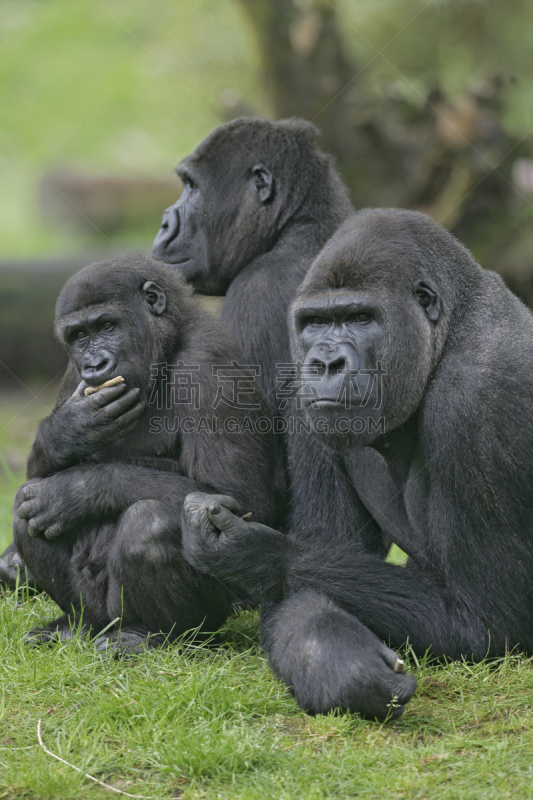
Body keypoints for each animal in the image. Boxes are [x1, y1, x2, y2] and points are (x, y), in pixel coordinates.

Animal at [11, 253, 274, 652]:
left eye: (107, 325)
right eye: (79, 336)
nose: (95, 365)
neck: (165, 349)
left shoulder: (209, 368)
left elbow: (237, 500)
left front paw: (76, 491)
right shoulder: (72, 374)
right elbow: (37, 477)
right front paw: (70, 430)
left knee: (149, 526)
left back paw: (151, 634)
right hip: (97, 611)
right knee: (27, 509)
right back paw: (76, 624)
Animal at [178, 209, 532, 720]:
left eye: (361, 318)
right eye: (315, 322)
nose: (325, 363)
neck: (451, 331)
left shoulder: (477, 401)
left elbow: (487, 624)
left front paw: (254, 552)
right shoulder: (300, 391)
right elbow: (319, 567)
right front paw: (337, 663)